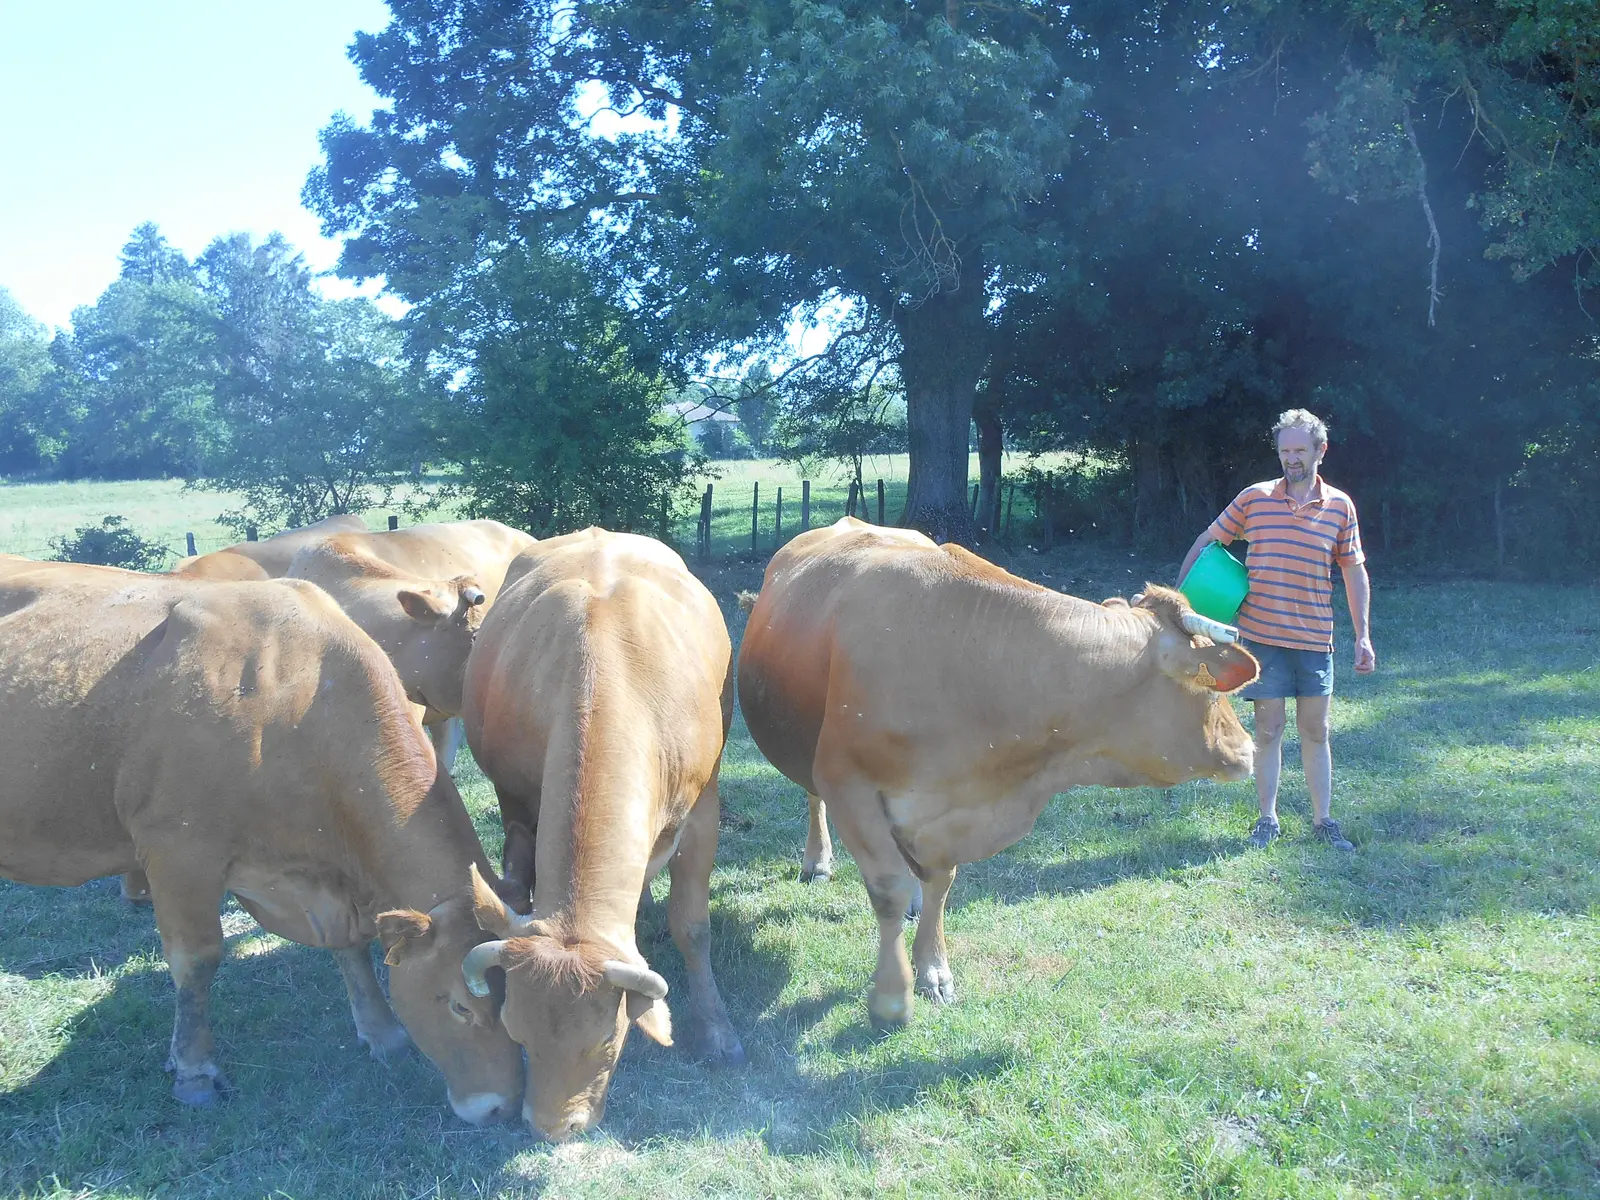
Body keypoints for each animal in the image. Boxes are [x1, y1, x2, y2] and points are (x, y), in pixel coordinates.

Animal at [0, 558, 524, 1122]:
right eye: (460, 1005)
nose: (501, 1108)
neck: (294, 702)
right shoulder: (178, 852)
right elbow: (196, 961)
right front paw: (193, 1070)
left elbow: (350, 945)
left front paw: (383, 1033)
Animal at [421, 527, 745, 1141]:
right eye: (518, 1034)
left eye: (607, 1043)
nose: (552, 1129)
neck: (605, 676)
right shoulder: (515, 804)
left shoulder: (703, 811)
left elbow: (693, 927)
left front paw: (717, 1030)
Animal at [735, 518, 1258, 1029]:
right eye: (1211, 690)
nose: (1248, 748)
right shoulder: (849, 785)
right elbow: (886, 888)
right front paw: (891, 997)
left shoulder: (949, 810)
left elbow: (939, 884)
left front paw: (933, 970)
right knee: (812, 797)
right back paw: (817, 860)